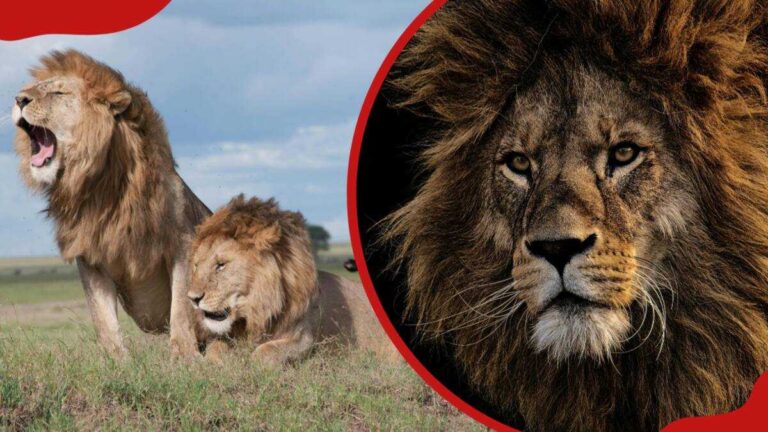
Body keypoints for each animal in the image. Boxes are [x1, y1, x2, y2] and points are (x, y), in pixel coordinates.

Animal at [12, 50, 210, 358]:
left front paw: (185, 357)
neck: (100, 188)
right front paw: (117, 360)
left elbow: (180, 307)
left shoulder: (182, 243)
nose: (19, 99)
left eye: (58, 92)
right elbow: (102, 317)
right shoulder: (90, 255)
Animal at [187, 195, 398, 365]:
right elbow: (215, 349)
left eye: (221, 265)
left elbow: (265, 352)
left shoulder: (304, 339)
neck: (258, 310)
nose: (192, 298)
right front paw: (215, 363)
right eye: (196, 265)